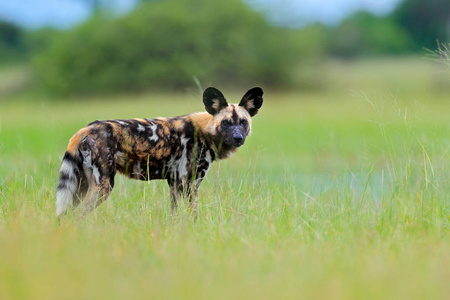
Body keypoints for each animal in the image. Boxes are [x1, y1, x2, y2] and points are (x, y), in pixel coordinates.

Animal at [55, 86, 264, 216]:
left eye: (243, 122)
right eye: (226, 123)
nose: (238, 138)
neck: (204, 131)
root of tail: (85, 129)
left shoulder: (174, 183)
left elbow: (174, 214)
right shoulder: (189, 183)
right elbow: (192, 214)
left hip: (82, 186)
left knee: (66, 215)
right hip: (103, 186)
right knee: (79, 216)